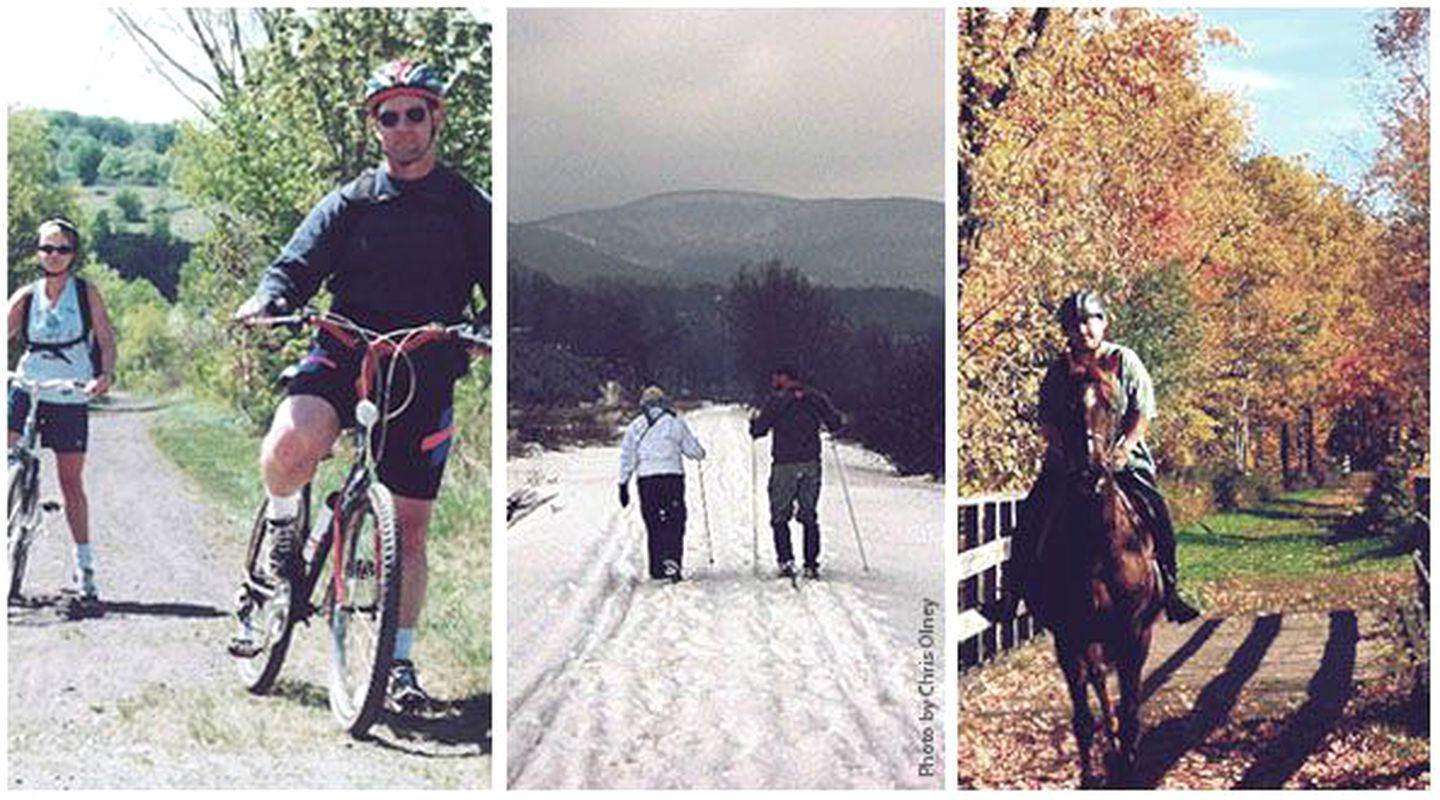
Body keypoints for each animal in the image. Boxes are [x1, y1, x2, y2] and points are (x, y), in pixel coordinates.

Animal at [1031, 349, 1163, 788]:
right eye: (1068, 406)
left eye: (1111, 404)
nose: (1090, 473)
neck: (1097, 548)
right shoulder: (1069, 638)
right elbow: (1084, 718)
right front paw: (1093, 773)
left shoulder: (1134, 634)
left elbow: (1131, 711)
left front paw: (1128, 766)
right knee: (1099, 688)